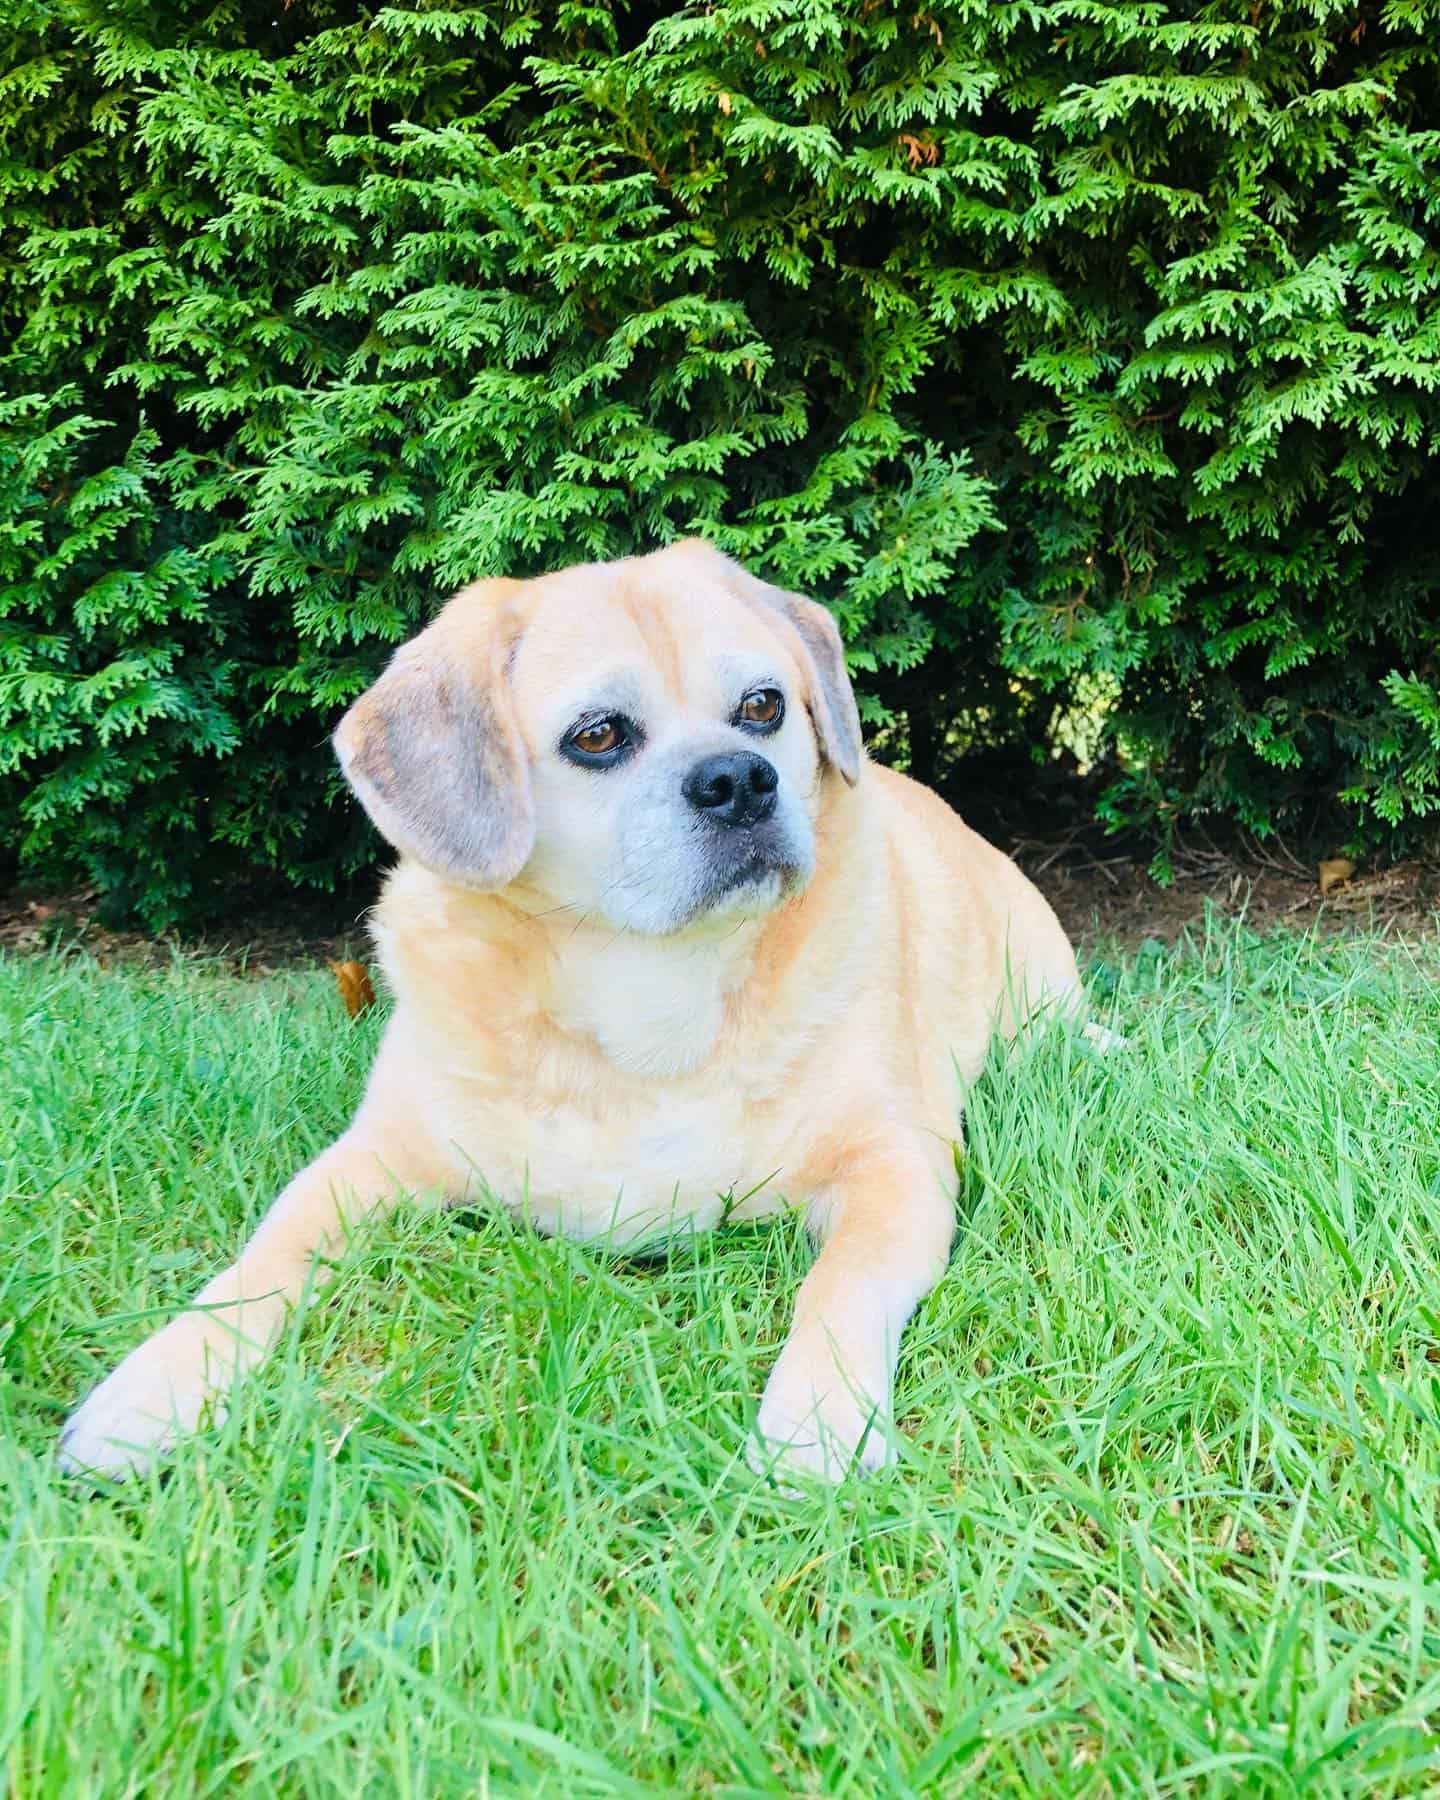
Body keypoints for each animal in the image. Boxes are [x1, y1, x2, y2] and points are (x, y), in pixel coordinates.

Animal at [62, 540, 1087, 1483]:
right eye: (597, 735)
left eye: (762, 706)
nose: (741, 779)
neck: (653, 997)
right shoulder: (372, 1161)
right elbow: (261, 1261)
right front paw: (153, 1385)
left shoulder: (895, 1165)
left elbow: (842, 1283)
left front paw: (818, 1415)